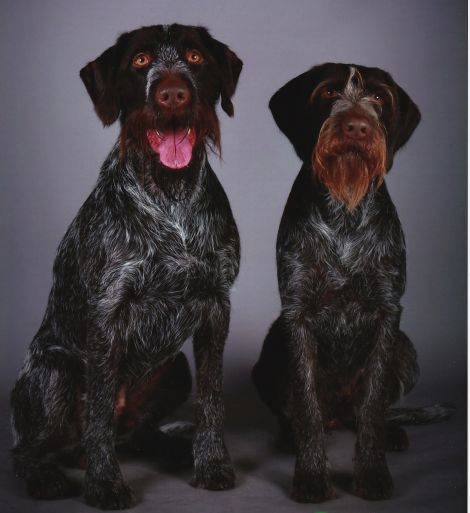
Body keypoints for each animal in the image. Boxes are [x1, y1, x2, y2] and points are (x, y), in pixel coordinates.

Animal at [10, 23, 242, 508]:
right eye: (140, 61)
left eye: (195, 57)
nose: (172, 94)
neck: (172, 197)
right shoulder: (108, 314)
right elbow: (98, 410)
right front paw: (105, 484)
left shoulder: (216, 305)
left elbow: (212, 399)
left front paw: (211, 462)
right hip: (54, 373)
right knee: (29, 449)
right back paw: (46, 474)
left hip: (175, 369)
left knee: (136, 434)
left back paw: (172, 449)